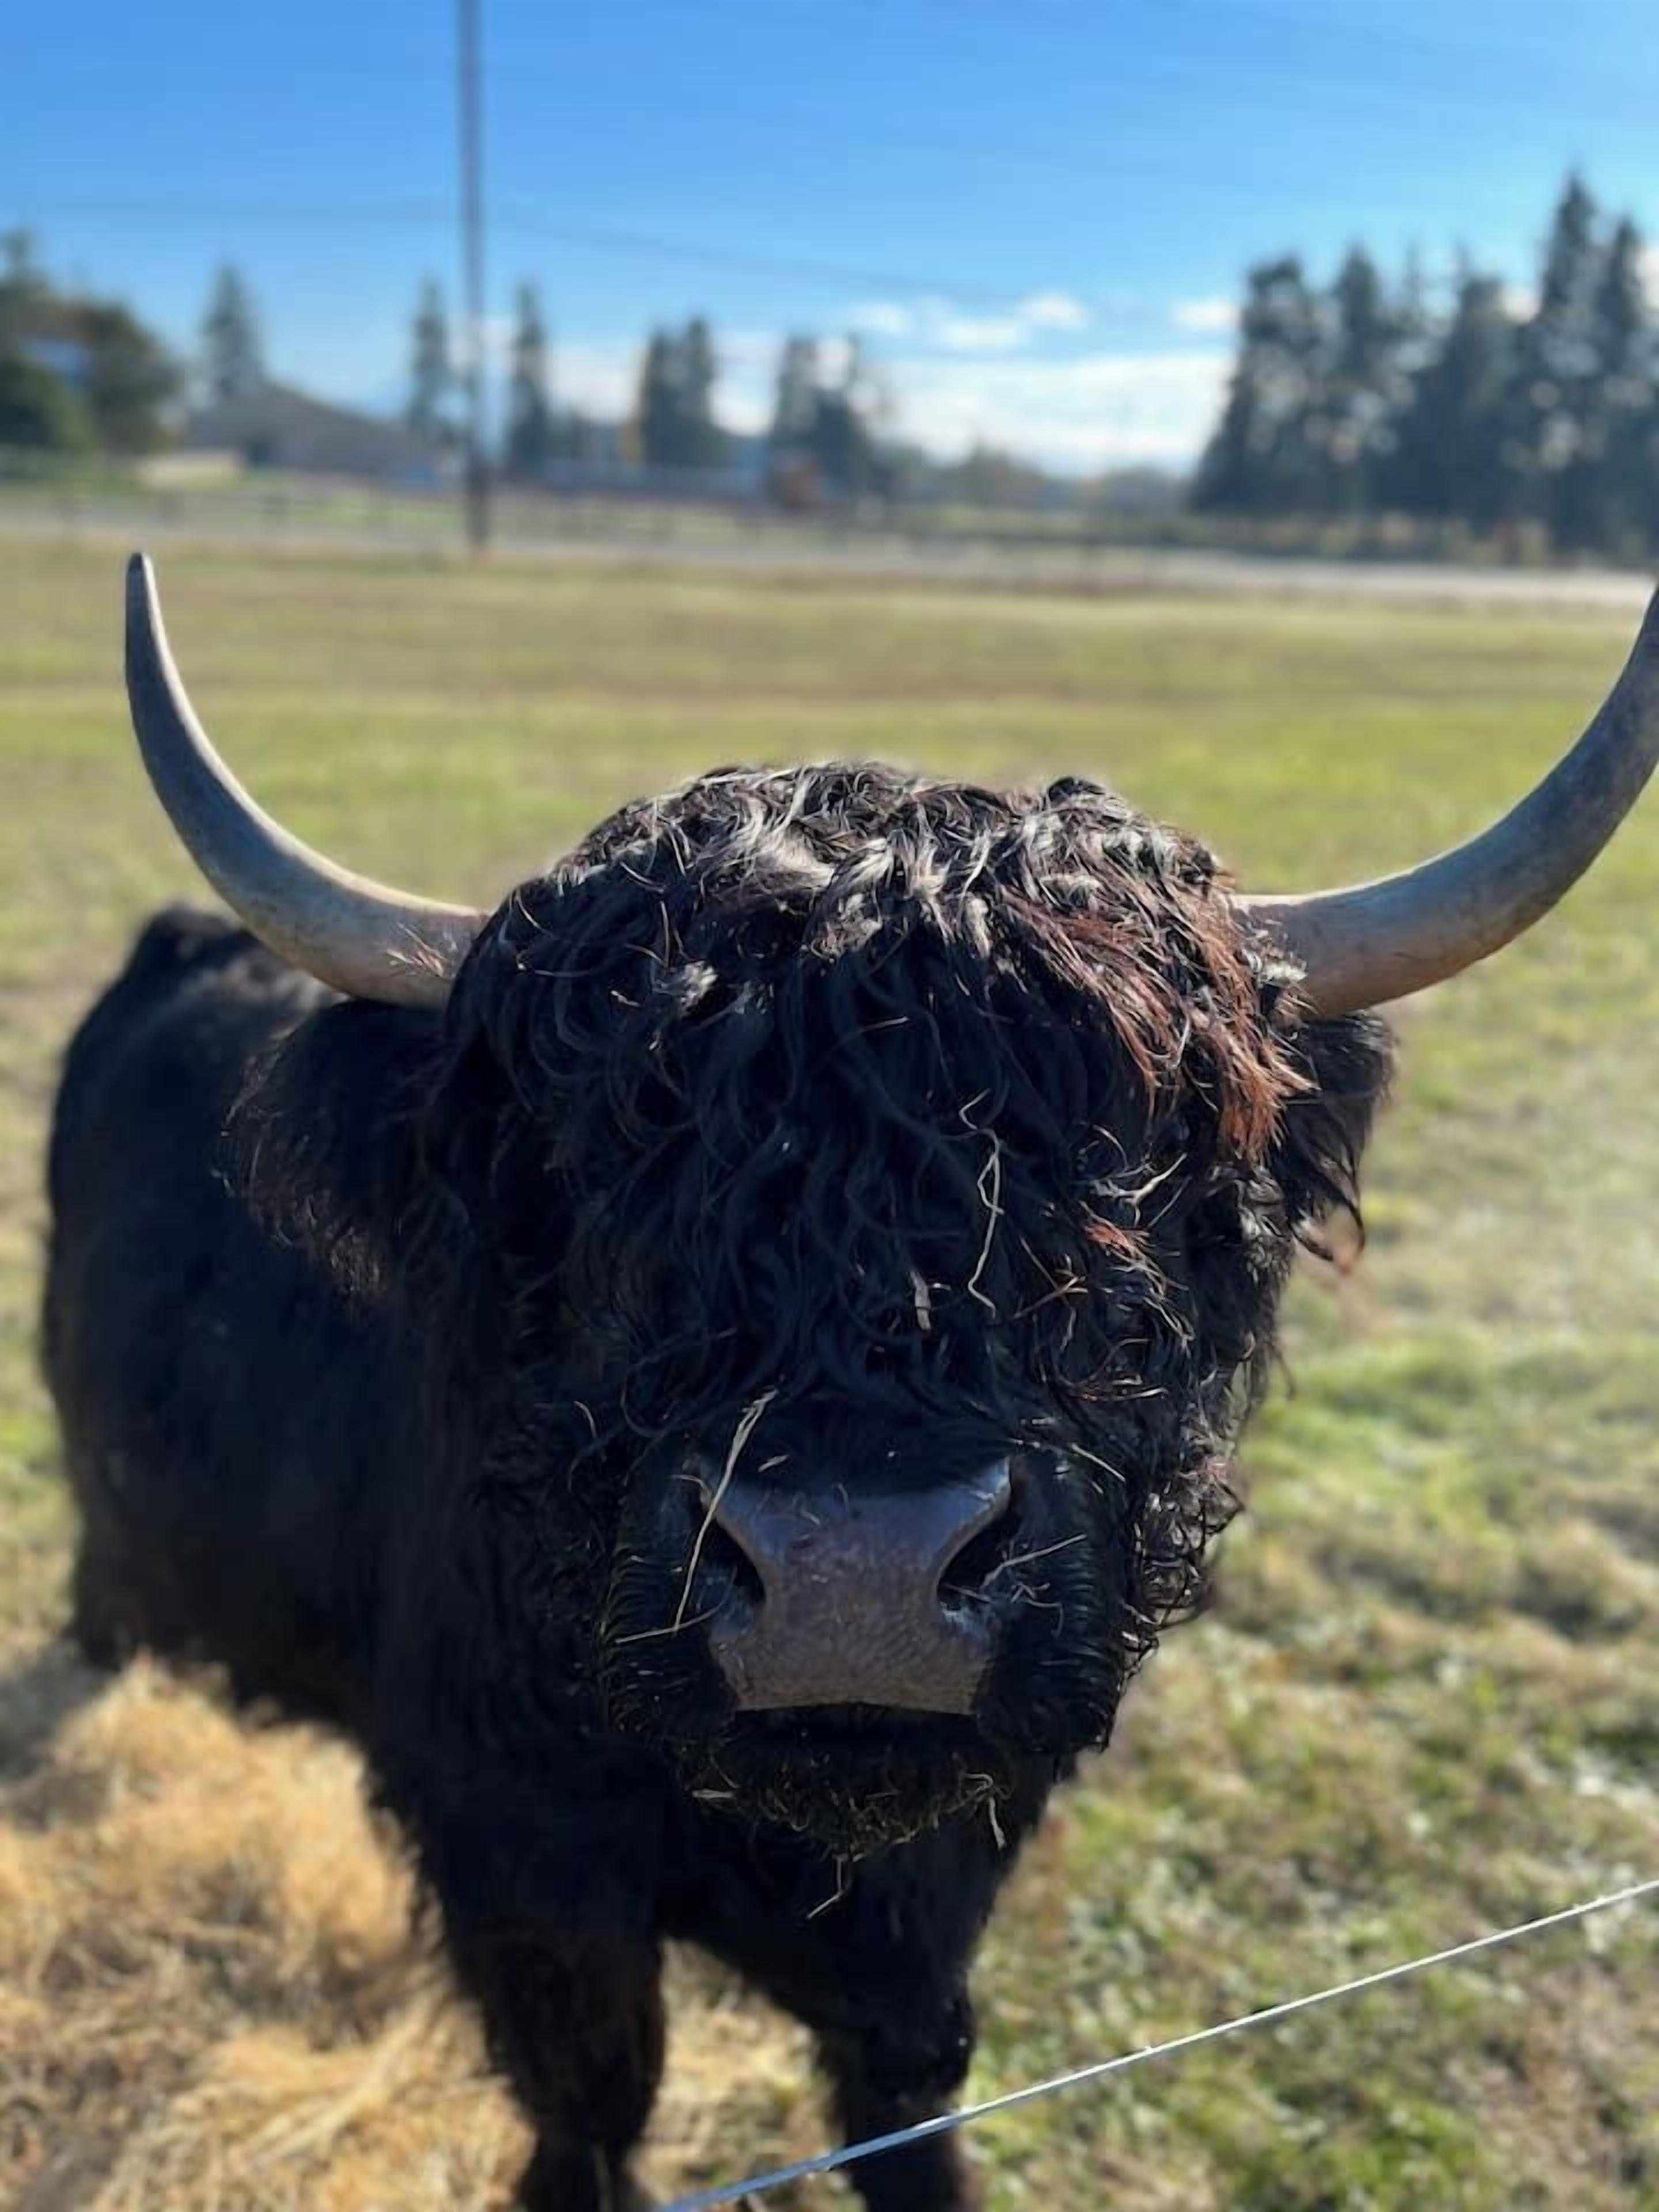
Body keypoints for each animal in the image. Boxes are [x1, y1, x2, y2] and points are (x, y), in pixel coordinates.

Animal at [42, 557, 1659, 2211]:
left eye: (1130, 1161)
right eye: (606, 1165)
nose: (852, 1580)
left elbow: (905, 2089)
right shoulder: (522, 1857)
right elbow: (593, 2102)